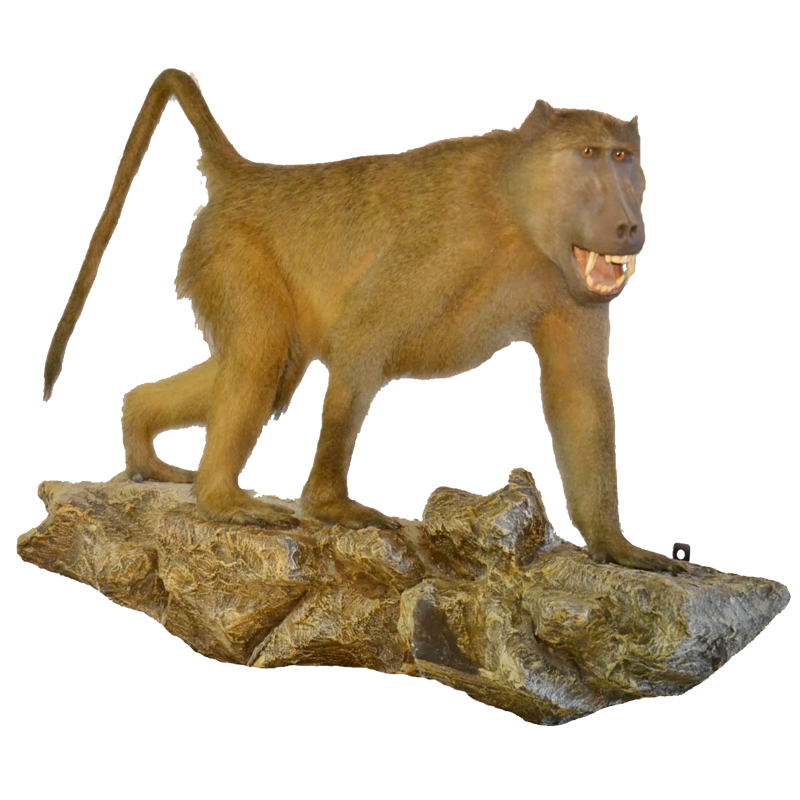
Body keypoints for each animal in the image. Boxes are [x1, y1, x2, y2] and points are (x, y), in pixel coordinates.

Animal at [45, 70, 681, 574]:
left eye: (623, 157)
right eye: (588, 155)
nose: (629, 224)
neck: (514, 211)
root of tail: (251, 176)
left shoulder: (568, 287)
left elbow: (577, 392)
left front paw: (614, 544)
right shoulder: (442, 243)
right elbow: (363, 337)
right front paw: (329, 504)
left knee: (269, 366)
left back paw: (140, 430)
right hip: (229, 251)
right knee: (261, 357)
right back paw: (221, 498)